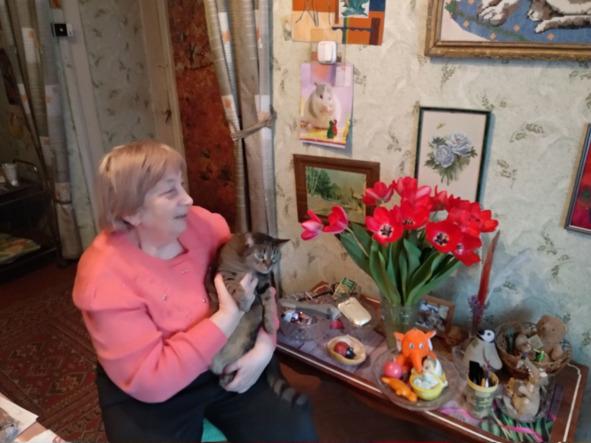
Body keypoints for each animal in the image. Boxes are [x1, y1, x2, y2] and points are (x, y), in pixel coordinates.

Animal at [207, 232, 308, 406]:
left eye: (274, 257)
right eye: (261, 255)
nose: (268, 267)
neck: (247, 267)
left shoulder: (264, 282)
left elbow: (269, 301)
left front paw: (270, 325)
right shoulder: (223, 272)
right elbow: (233, 284)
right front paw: (243, 300)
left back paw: (226, 377)